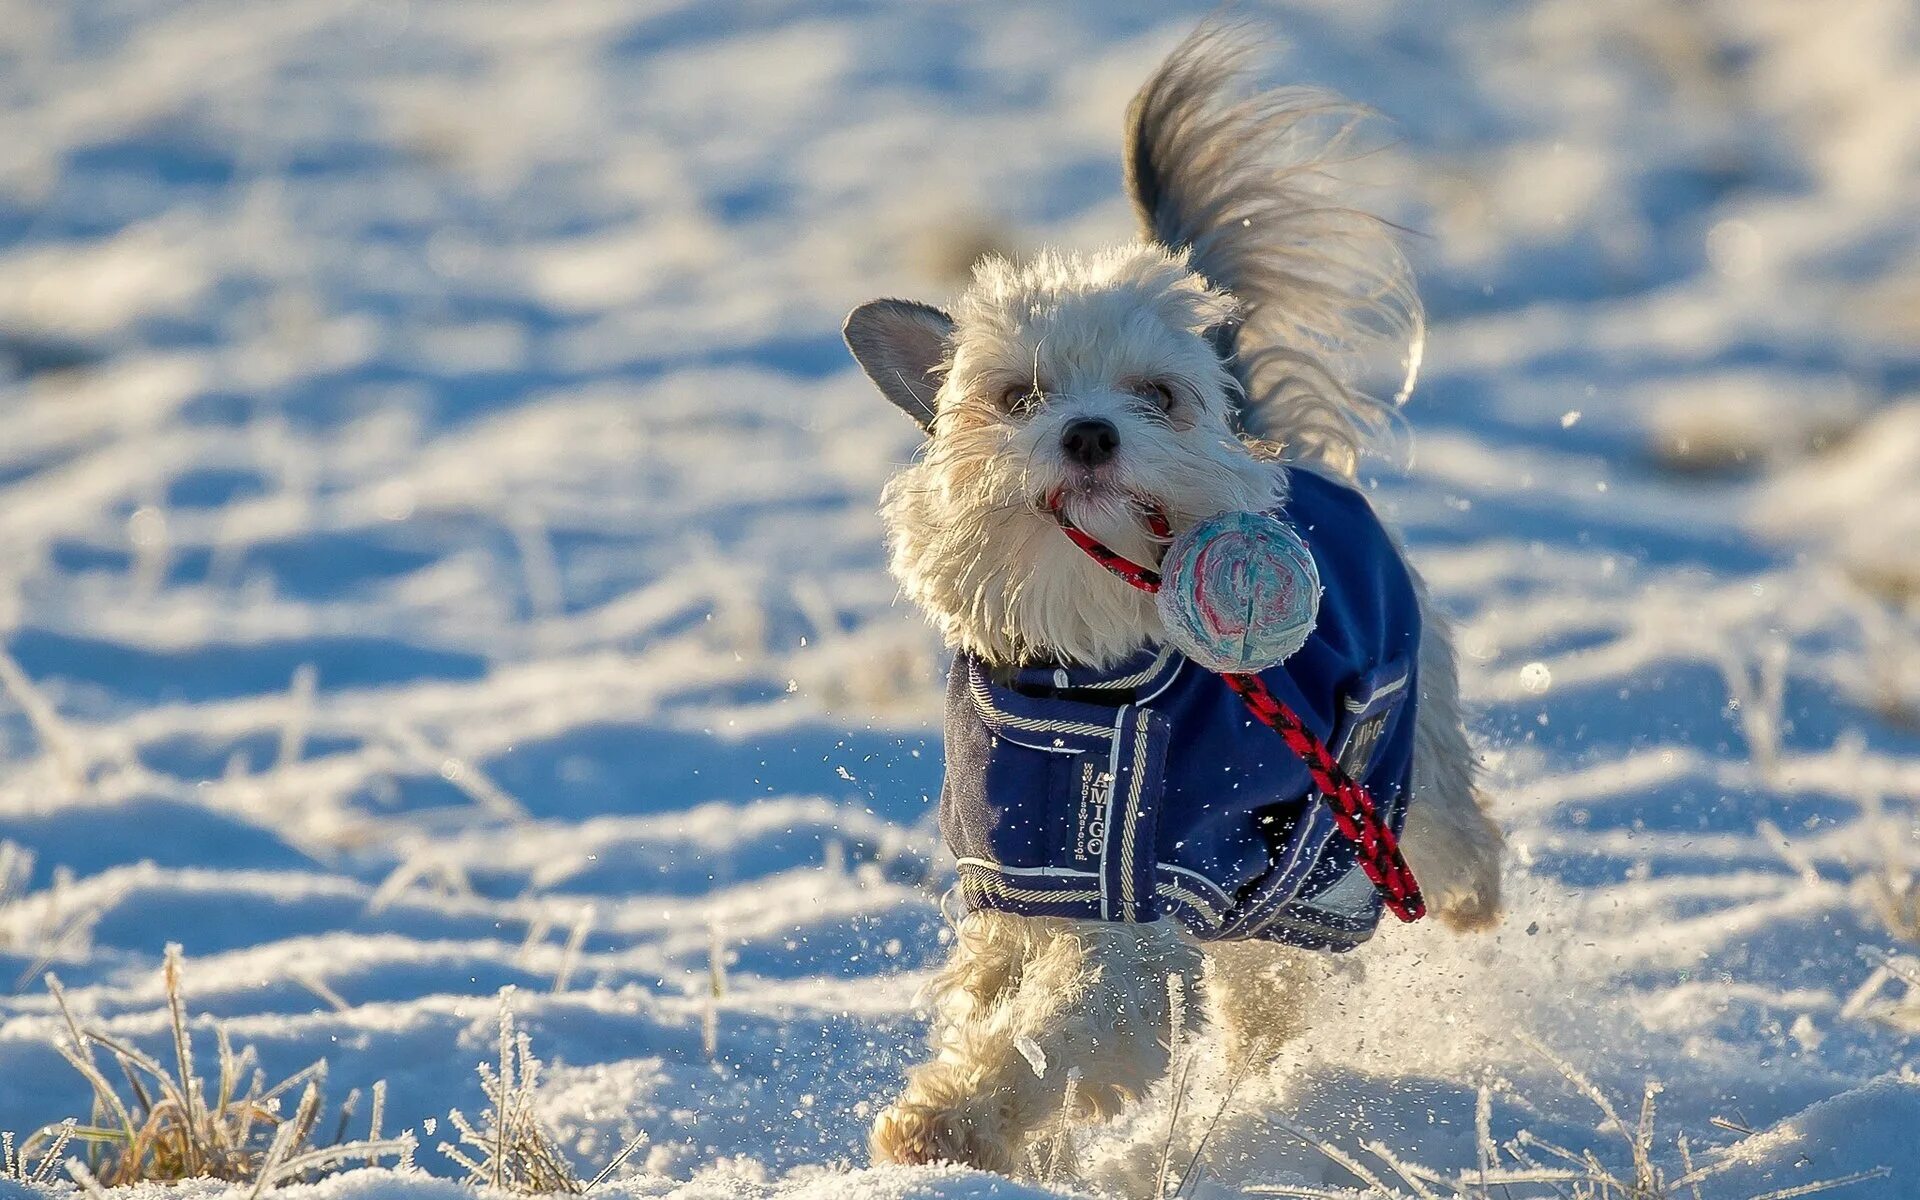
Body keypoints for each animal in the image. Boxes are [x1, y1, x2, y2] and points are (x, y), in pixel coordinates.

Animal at [840, 21, 1497, 1182]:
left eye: (1157, 397)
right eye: (1017, 398)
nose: (1091, 433)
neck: (1091, 685)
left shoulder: (1146, 908)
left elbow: (1065, 1028)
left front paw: (946, 1123)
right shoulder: (1024, 876)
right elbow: (994, 992)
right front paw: (967, 1114)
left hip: (1376, 770)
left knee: (1439, 829)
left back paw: (1464, 902)